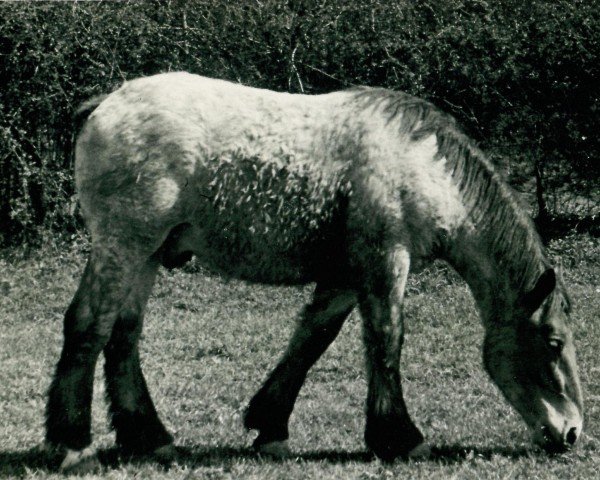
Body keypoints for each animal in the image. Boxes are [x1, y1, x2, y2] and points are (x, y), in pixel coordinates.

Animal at [45, 73, 580, 470]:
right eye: (553, 343)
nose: (573, 432)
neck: (424, 166)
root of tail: (106, 103)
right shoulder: (386, 261)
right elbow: (386, 342)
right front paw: (400, 438)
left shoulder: (345, 276)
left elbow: (310, 341)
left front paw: (270, 427)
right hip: (124, 245)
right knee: (88, 326)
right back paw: (72, 444)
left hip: (147, 254)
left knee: (123, 336)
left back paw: (149, 438)